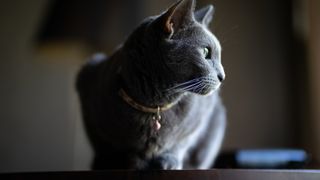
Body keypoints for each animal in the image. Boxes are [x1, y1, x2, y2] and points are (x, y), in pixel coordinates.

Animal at [75, 0, 225, 169]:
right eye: (206, 52)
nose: (223, 76)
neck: (155, 104)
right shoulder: (87, 87)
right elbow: (108, 145)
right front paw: (135, 162)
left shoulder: (202, 116)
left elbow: (182, 141)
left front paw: (169, 161)